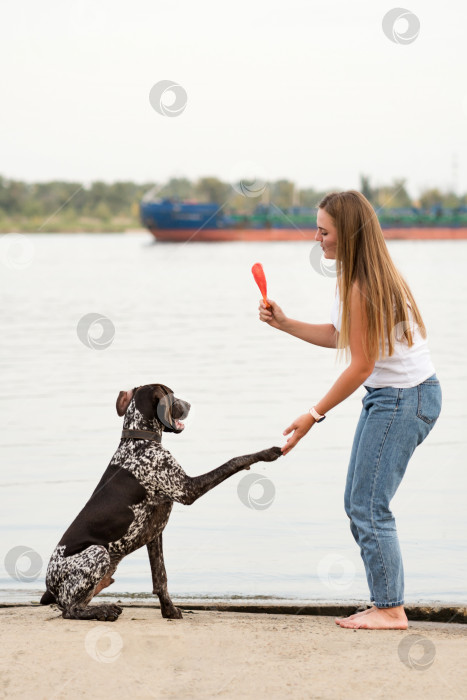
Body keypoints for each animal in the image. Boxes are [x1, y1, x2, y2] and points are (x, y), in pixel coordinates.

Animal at [41, 386, 282, 620]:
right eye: (172, 395)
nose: (189, 405)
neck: (139, 440)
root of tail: (49, 585)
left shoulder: (154, 535)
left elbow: (161, 578)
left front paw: (169, 611)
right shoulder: (188, 489)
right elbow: (234, 461)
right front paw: (267, 453)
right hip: (98, 552)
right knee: (70, 610)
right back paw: (103, 611)